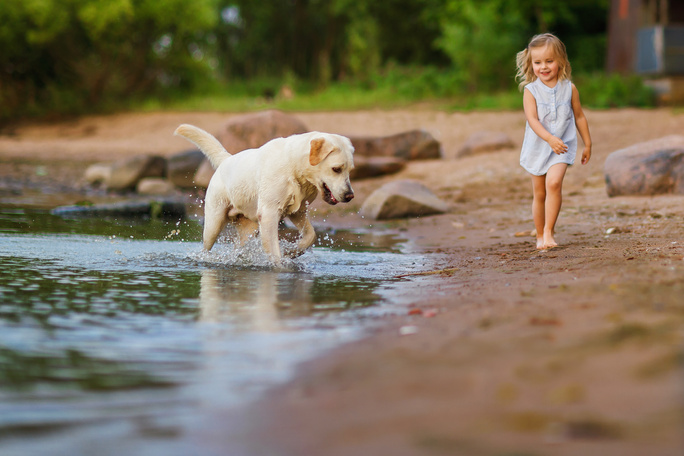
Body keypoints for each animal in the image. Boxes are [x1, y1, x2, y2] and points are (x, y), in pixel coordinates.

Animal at [174, 124, 356, 262]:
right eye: (336, 169)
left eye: (350, 170)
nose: (350, 196)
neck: (294, 168)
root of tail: (226, 159)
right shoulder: (269, 213)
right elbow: (274, 254)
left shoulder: (298, 212)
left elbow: (310, 236)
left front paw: (291, 252)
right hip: (214, 222)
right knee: (206, 246)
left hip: (248, 228)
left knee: (239, 247)